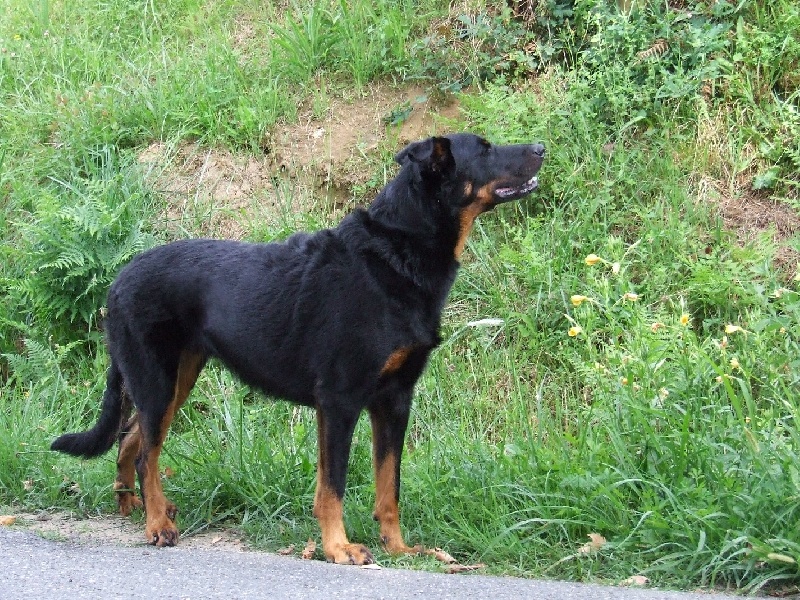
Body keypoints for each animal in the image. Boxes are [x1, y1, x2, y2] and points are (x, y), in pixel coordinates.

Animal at [51, 134, 544, 564]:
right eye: (485, 149)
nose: (541, 147)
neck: (396, 252)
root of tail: (118, 280)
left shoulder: (394, 402)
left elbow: (389, 487)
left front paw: (399, 548)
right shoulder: (341, 401)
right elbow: (335, 485)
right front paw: (339, 548)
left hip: (176, 380)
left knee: (131, 439)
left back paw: (133, 507)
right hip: (157, 381)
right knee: (145, 453)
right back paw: (157, 525)